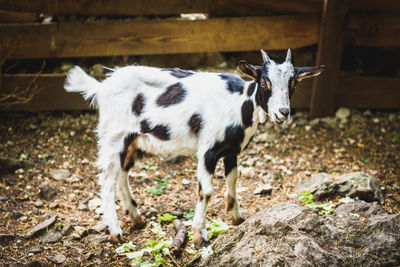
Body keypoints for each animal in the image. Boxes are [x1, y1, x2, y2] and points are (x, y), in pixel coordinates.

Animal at [65, 49, 324, 247]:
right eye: (263, 82)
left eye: (294, 83)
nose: (283, 113)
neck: (238, 103)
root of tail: (100, 87)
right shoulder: (207, 150)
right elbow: (206, 191)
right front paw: (200, 235)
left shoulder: (232, 150)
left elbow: (233, 179)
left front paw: (237, 218)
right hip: (113, 135)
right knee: (107, 179)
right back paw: (116, 231)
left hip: (134, 141)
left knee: (122, 174)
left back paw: (136, 217)